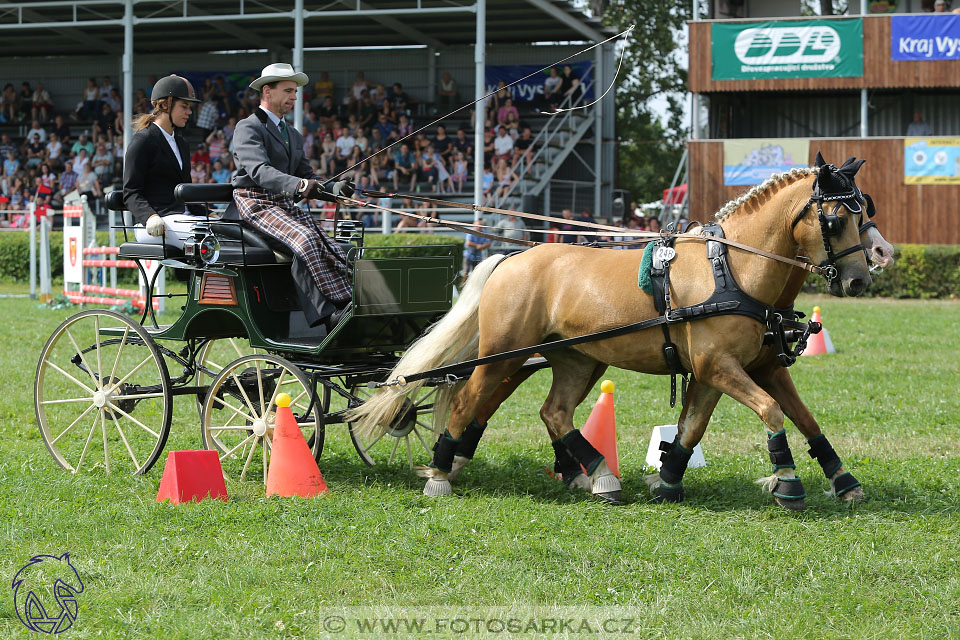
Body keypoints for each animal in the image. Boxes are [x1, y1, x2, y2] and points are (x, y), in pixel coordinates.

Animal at [352, 158, 876, 508]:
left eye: (864, 213)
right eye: (835, 219)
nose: (860, 280)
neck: (733, 270)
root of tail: (512, 258)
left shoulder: (745, 368)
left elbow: (770, 419)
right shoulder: (718, 366)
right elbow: (770, 412)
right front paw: (786, 481)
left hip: (576, 359)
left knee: (554, 411)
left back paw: (598, 475)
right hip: (505, 352)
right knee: (468, 402)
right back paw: (441, 473)